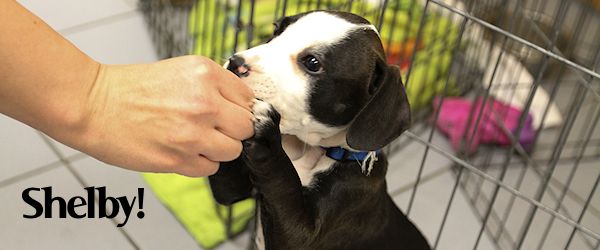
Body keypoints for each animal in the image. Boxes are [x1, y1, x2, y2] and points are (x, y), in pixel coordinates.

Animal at [209, 10, 428, 250]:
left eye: (313, 63)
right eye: (276, 30)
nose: (236, 63)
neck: (307, 150)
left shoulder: (308, 231)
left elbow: (283, 184)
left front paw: (268, 142)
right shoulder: (235, 189)